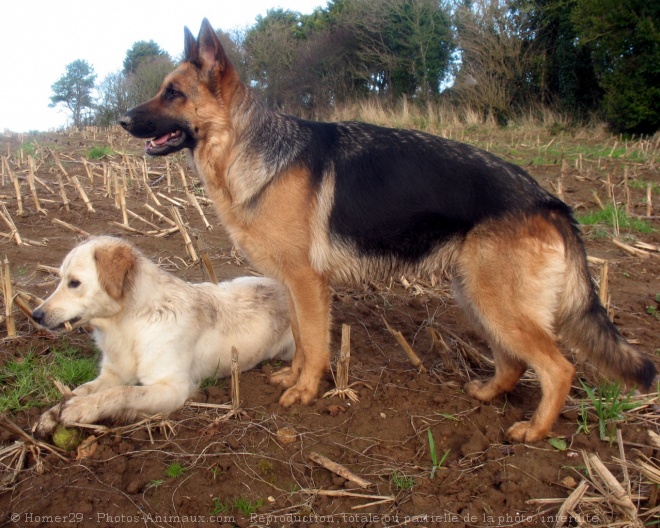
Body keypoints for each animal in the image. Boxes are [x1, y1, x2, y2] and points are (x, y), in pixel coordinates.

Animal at [31, 237, 294, 436]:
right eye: (60, 279)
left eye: (74, 283)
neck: (128, 324)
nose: (36, 315)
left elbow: (123, 392)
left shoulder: (173, 388)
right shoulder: (113, 374)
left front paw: (81, 408)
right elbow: (81, 389)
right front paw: (52, 413)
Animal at [118, 18, 656, 442]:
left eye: (174, 93)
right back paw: (487, 394)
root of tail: (550, 201)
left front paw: (306, 391)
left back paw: (536, 431)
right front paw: (292, 378)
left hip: (496, 302)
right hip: (477, 296)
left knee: (559, 367)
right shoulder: (294, 286)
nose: (121, 119)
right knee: (516, 362)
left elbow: (316, 344)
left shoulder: (309, 285)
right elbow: (300, 337)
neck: (250, 147)